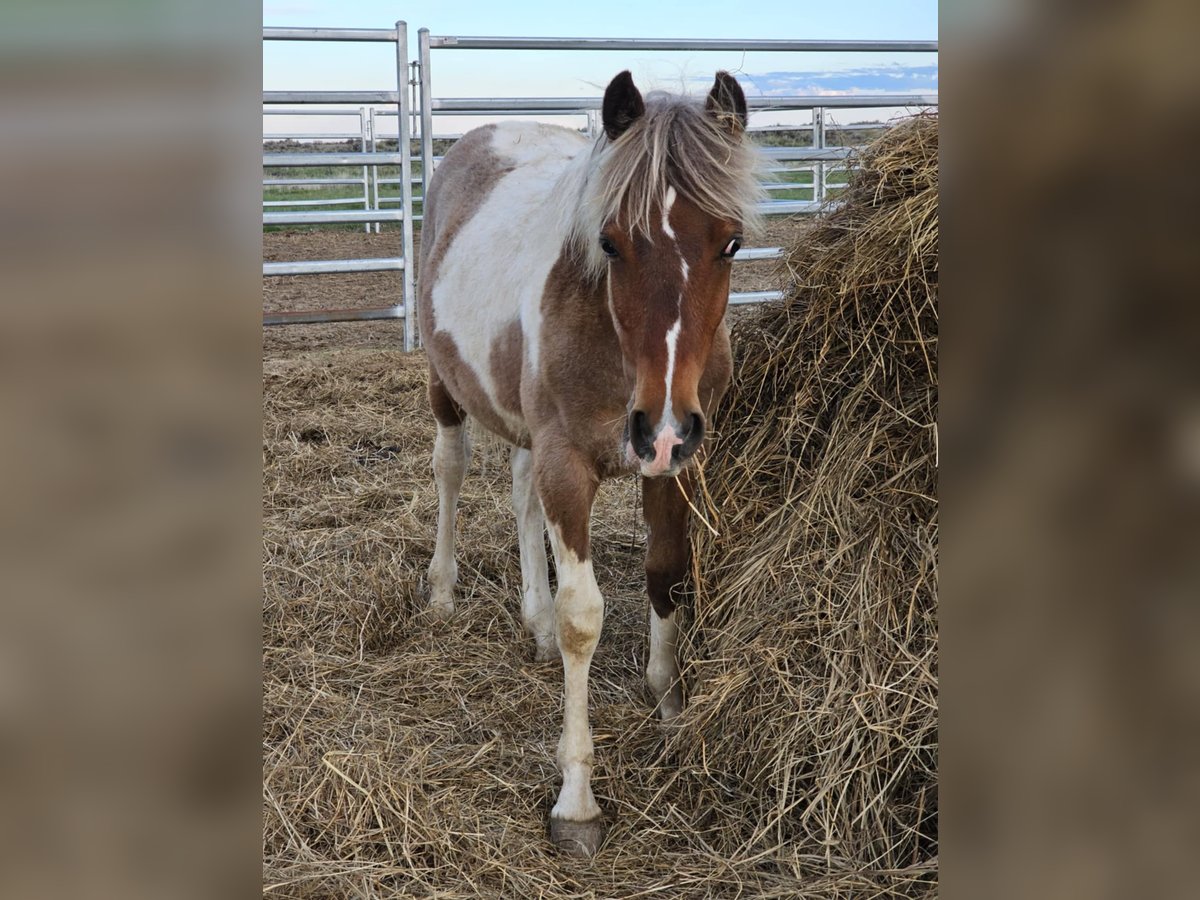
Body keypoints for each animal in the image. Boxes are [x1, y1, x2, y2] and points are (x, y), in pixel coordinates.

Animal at [417, 72, 763, 859]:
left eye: (730, 243)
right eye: (610, 242)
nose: (661, 426)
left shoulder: (675, 466)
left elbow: (667, 575)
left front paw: (670, 706)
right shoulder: (569, 463)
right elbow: (586, 616)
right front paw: (576, 802)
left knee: (520, 497)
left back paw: (534, 624)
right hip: (447, 386)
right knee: (450, 469)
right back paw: (444, 593)